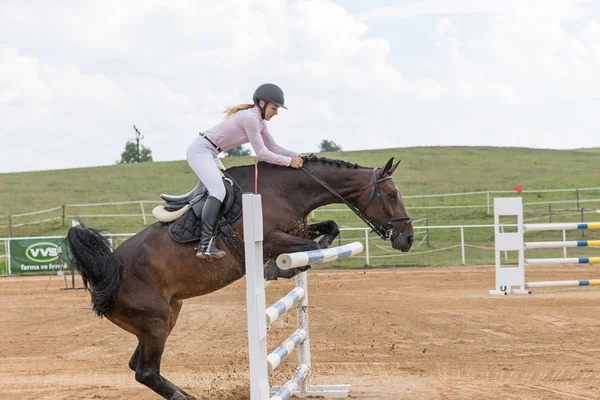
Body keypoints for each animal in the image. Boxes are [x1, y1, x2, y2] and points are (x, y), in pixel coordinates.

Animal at [65, 155, 412, 400]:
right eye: (391, 194)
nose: (406, 239)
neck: (282, 191)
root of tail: (107, 274)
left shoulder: (298, 230)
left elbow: (329, 230)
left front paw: (291, 266)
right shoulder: (271, 240)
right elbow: (311, 248)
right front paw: (280, 268)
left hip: (165, 317)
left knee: (138, 367)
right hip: (156, 321)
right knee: (146, 372)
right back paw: (186, 397)